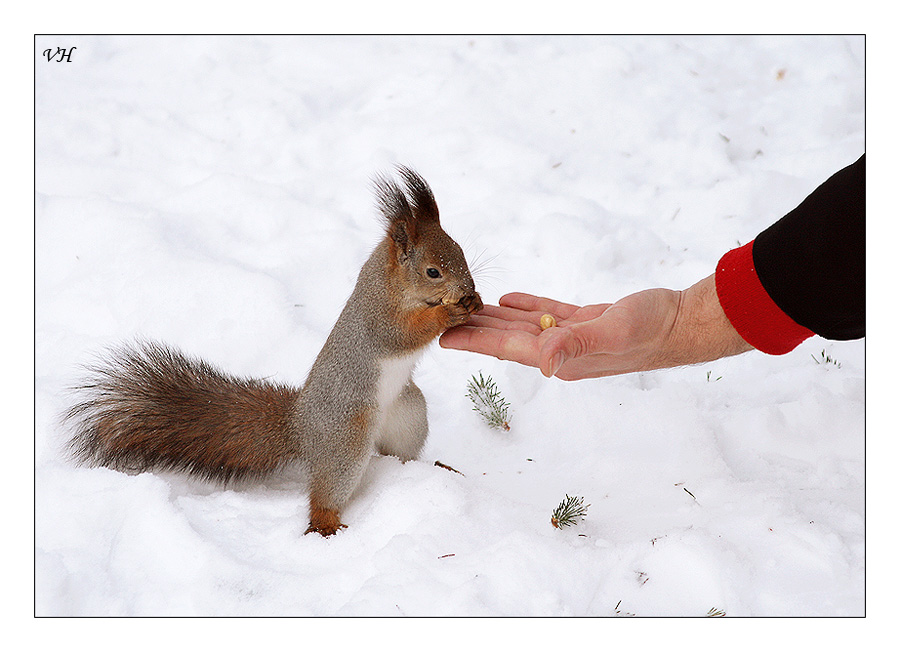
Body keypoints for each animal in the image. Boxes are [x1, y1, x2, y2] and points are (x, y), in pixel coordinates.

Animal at [64, 167, 486, 536]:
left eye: (460, 251)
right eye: (433, 271)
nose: (468, 288)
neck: (395, 285)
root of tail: (300, 427)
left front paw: (475, 302)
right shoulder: (379, 317)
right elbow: (402, 334)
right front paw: (449, 311)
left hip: (408, 413)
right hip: (347, 438)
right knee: (327, 490)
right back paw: (325, 524)